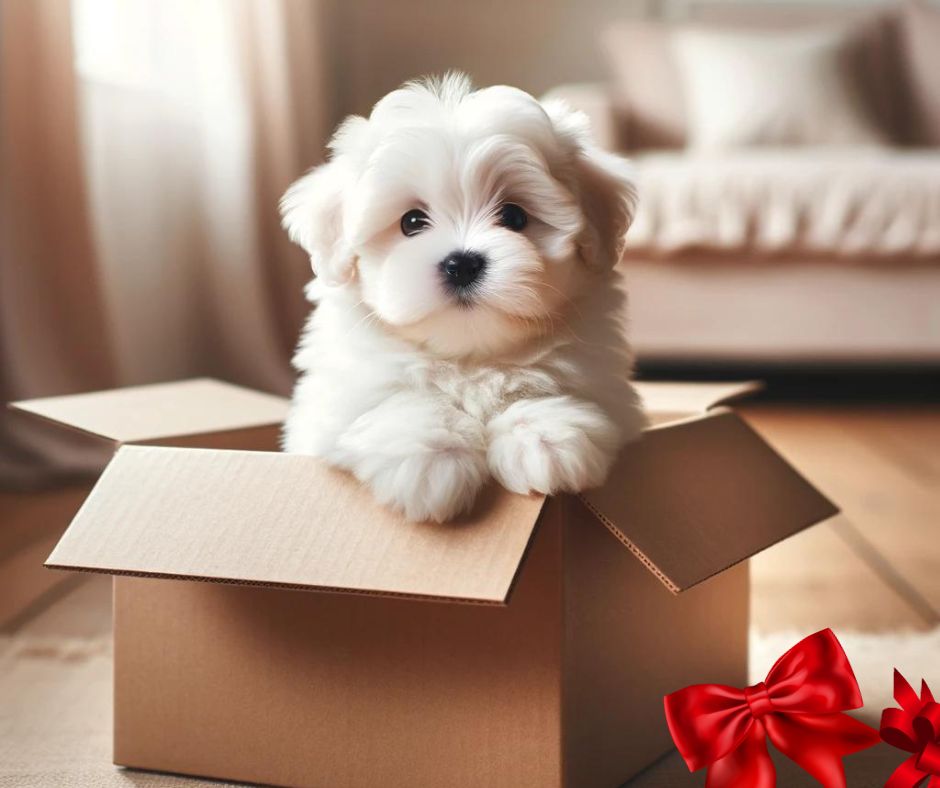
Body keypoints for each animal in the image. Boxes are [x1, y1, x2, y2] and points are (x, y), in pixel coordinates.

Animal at [280, 71, 648, 520]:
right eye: (411, 222)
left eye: (514, 216)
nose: (462, 264)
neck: (469, 358)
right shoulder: (331, 408)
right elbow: (399, 395)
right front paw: (431, 453)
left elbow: (545, 382)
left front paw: (544, 434)